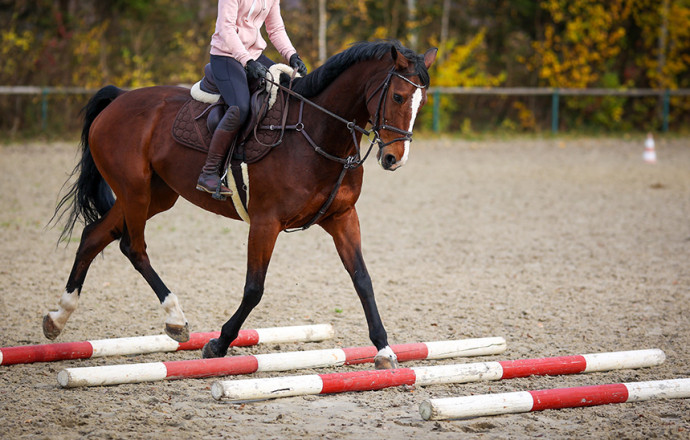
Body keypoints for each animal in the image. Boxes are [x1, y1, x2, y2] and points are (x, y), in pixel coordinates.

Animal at [47, 40, 437, 368]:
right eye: (398, 96)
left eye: (422, 102)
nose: (394, 158)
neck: (316, 132)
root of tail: (119, 99)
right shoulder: (266, 222)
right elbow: (254, 289)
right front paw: (218, 344)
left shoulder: (343, 217)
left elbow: (362, 280)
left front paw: (384, 350)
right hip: (135, 191)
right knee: (133, 246)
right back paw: (175, 318)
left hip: (155, 195)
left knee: (94, 235)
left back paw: (57, 318)